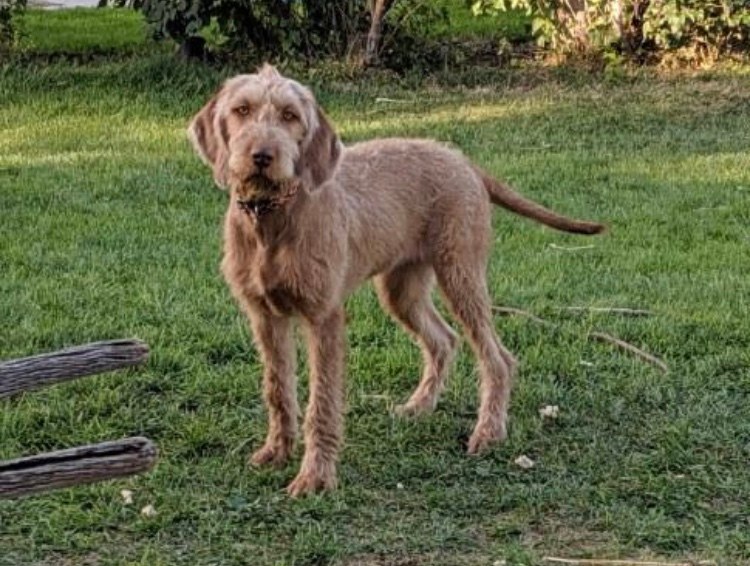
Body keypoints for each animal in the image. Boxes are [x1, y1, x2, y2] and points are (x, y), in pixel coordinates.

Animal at [188, 65, 604, 496]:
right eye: (242, 109)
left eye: (289, 115)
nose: (262, 156)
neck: (272, 219)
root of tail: (464, 162)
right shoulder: (265, 316)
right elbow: (278, 390)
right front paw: (276, 451)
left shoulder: (324, 317)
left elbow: (322, 402)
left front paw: (316, 475)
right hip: (402, 289)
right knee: (444, 340)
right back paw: (419, 407)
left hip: (461, 274)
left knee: (497, 357)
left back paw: (488, 431)